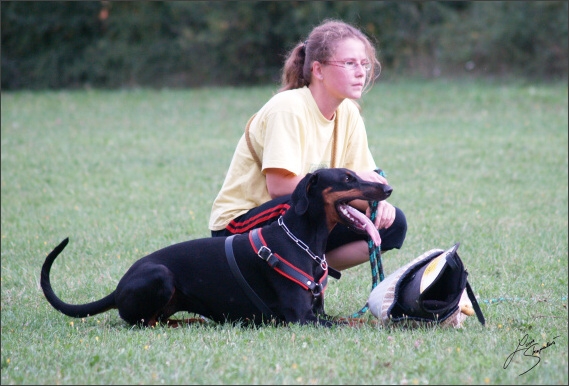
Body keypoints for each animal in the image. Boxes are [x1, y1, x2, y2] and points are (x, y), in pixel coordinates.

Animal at [40, 167, 390, 328]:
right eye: (347, 178)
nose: (387, 188)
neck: (302, 241)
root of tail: (117, 288)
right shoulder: (301, 318)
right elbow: (354, 323)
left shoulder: (318, 311)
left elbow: (354, 319)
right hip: (160, 274)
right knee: (143, 322)